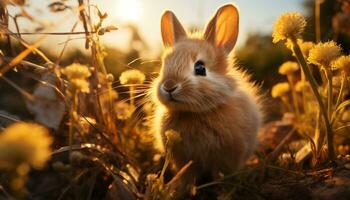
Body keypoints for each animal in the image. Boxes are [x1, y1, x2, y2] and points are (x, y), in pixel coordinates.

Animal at [150, 3, 262, 193]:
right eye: (164, 65)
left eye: (200, 68)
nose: (169, 86)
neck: (195, 113)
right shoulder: (184, 160)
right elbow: (188, 175)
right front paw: (179, 189)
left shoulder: (228, 157)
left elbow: (221, 175)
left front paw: (222, 191)